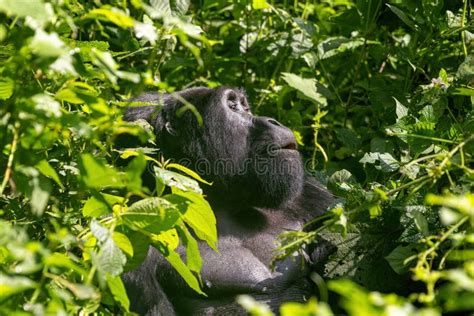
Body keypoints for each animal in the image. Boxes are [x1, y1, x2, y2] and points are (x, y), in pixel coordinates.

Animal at [120, 87, 334, 316]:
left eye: (245, 107)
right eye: (233, 107)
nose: (274, 121)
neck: (221, 204)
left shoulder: (311, 196)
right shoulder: (131, 238)